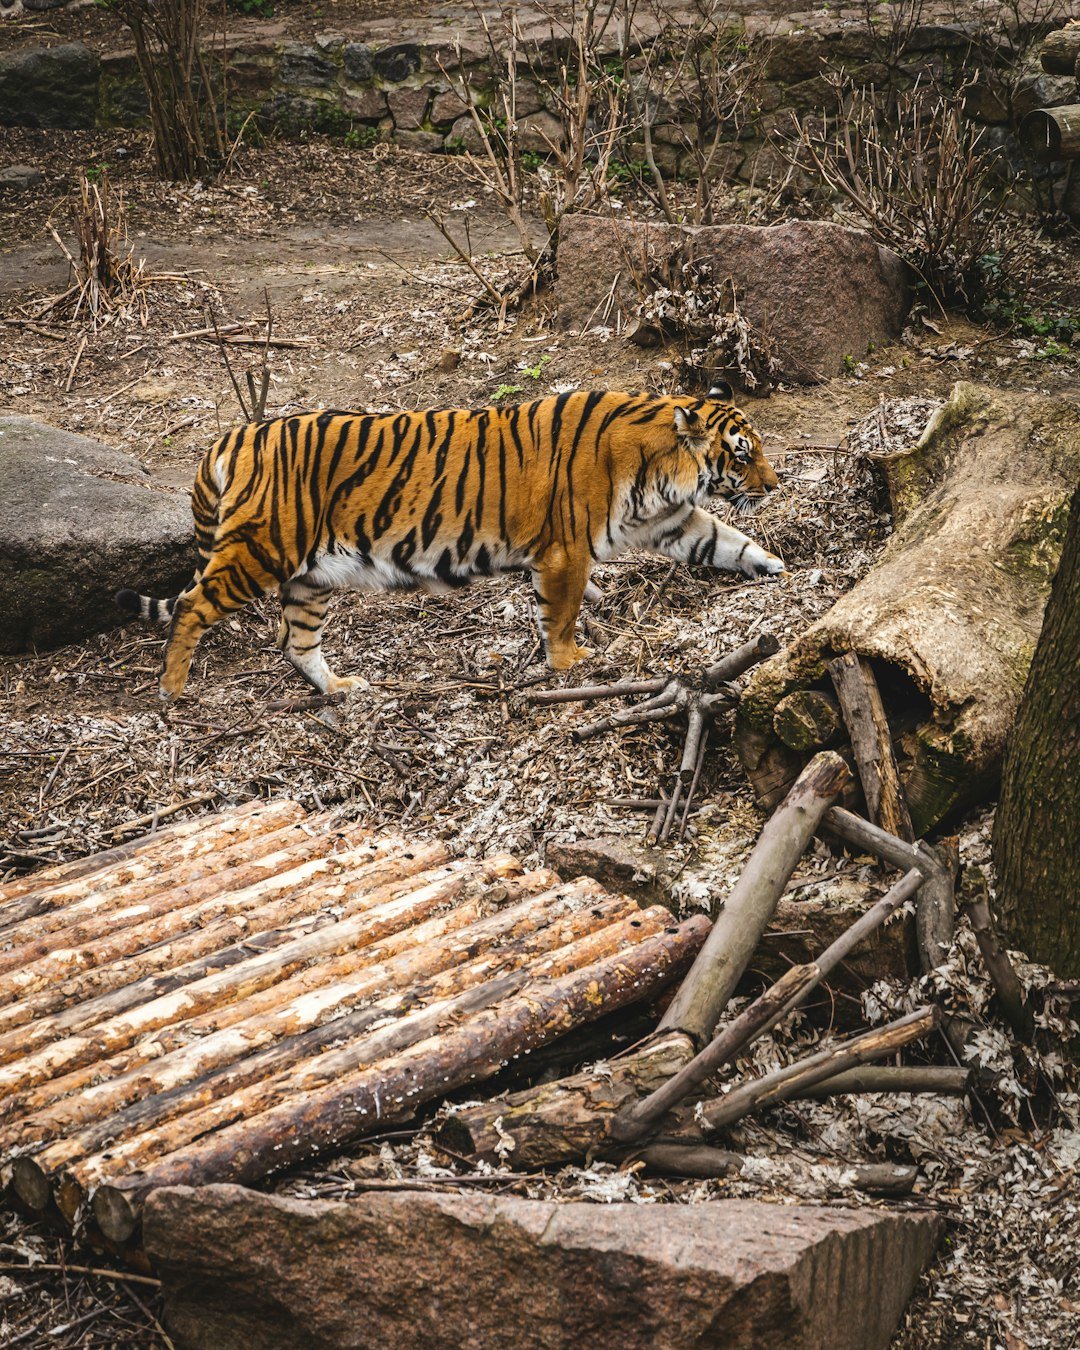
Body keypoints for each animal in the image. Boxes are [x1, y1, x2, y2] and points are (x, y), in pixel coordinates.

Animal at [116, 385, 784, 703]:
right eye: (742, 454)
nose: (775, 484)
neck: (662, 468)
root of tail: (234, 435)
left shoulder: (672, 521)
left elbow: (727, 541)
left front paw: (779, 567)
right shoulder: (564, 551)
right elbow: (562, 614)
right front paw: (572, 665)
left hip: (311, 576)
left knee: (294, 640)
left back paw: (340, 690)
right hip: (261, 550)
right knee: (194, 605)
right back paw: (170, 690)